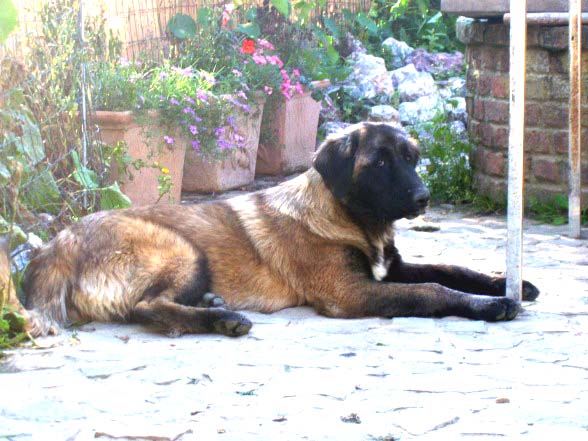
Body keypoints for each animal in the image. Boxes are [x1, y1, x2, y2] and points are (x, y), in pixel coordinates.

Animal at [5, 122, 536, 336]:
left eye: (412, 158)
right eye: (381, 162)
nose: (424, 198)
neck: (347, 219)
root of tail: (58, 243)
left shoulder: (390, 269)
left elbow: (452, 268)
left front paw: (507, 283)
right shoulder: (350, 293)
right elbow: (432, 290)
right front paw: (491, 305)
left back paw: (212, 305)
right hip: (181, 249)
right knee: (146, 307)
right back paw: (223, 320)